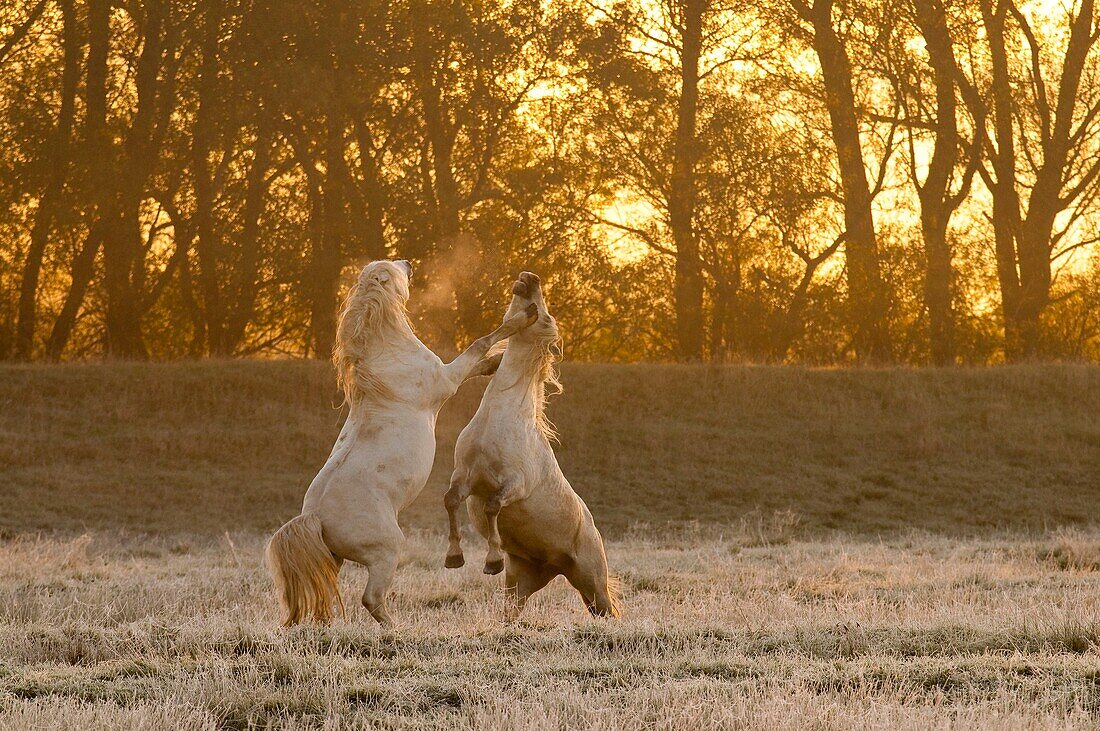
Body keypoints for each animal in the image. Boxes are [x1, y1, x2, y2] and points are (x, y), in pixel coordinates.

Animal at [268, 259, 539, 624]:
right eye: (391, 269)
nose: (408, 263)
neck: (386, 359)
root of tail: (317, 518)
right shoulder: (446, 380)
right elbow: (479, 343)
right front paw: (525, 317)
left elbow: (478, 358)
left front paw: (495, 362)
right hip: (387, 552)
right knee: (371, 598)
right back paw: (396, 629)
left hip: (333, 558)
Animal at [444, 272, 620, 615]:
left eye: (547, 317)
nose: (529, 278)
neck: (499, 418)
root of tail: (556, 567)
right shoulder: (464, 475)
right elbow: (451, 500)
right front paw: (454, 557)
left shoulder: (516, 483)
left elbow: (493, 505)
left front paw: (492, 561)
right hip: (520, 585)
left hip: (593, 584)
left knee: (608, 611)